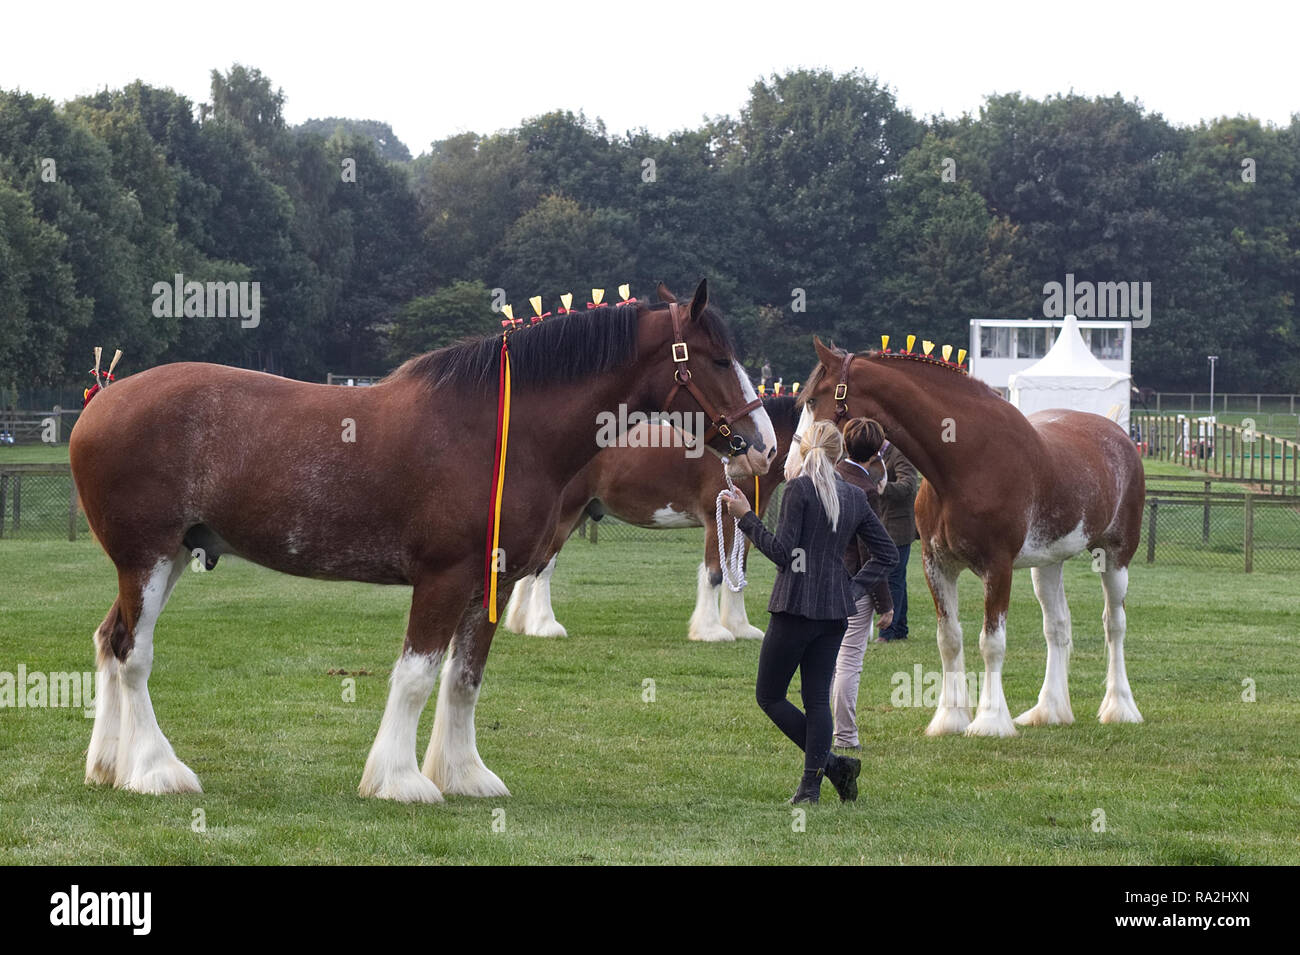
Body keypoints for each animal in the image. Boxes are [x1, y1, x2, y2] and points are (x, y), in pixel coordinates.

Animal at [499, 392, 795, 647]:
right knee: (544, 566)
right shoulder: (717, 518)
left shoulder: (743, 520)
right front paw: (710, 631)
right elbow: (714, 573)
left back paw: (521, 623)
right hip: (566, 514)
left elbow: (737, 572)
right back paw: (544, 625)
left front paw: (739, 627)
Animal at [790, 337, 1149, 738]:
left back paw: (1120, 707)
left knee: (1114, 625)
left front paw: (990, 720)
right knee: (1056, 628)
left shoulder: (998, 568)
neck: (966, 461)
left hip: (1115, 556)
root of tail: (1117, 433)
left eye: (812, 399)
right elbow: (949, 639)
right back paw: (1049, 710)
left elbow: (991, 642)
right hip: (1048, 563)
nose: (792, 467)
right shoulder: (937, 565)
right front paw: (950, 717)